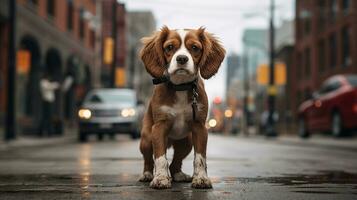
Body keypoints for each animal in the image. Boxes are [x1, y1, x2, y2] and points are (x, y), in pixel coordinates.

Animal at [138, 26, 224, 189]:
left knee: (175, 163)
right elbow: (160, 158)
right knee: (148, 159)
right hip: (146, 139)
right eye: (169, 47)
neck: (180, 87)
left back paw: (179, 175)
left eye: (195, 48)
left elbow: (200, 157)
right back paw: (147, 174)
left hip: (187, 142)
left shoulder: (199, 127)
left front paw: (201, 179)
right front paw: (160, 178)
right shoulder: (159, 128)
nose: (182, 58)